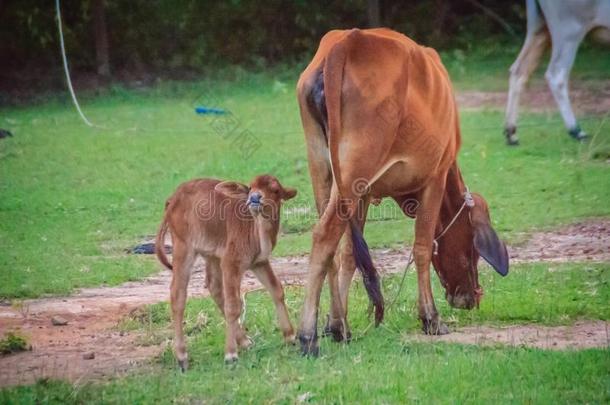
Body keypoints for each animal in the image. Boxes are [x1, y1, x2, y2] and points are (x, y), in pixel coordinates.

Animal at [156, 174, 296, 370]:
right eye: (250, 187)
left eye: (275, 190)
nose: (254, 198)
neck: (255, 228)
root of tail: (172, 198)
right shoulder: (231, 263)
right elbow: (233, 305)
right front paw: (230, 355)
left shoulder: (259, 262)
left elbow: (277, 291)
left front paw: (290, 336)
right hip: (183, 248)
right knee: (178, 294)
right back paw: (182, 356)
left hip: (212, 255)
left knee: (213, 287)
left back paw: (244, 341)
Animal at [294, 28, 508, 356]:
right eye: (474, 249)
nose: (471, 298)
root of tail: (348, 41)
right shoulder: (435, 177)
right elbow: (422, 247)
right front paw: (431, 318)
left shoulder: (365, 195)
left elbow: (349, 255)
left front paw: (336, 323)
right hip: (354, 171)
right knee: (323, 236)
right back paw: (308, 337)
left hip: (323, 168)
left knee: (332, 246)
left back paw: (335, 328)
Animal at [504, 0, 608, 145]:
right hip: (568, 33)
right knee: (556, 74)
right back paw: (576, 131)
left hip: (539, 29)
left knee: (518, 70)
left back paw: (511, 133)